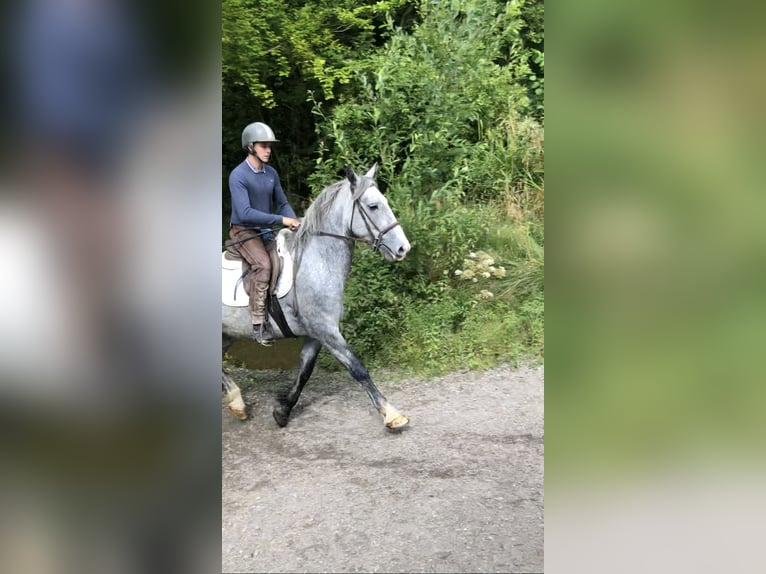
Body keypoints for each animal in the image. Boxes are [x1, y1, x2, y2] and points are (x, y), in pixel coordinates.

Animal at [222, 164, 414, 430]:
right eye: (373, 206)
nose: (403, 248)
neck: (317, 262)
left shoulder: (316, 333)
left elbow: (305, 370)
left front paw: (282, 411)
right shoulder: (326, 330)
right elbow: (358, 368)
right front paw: (391, 414)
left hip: (227, 335)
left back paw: (237, 403)